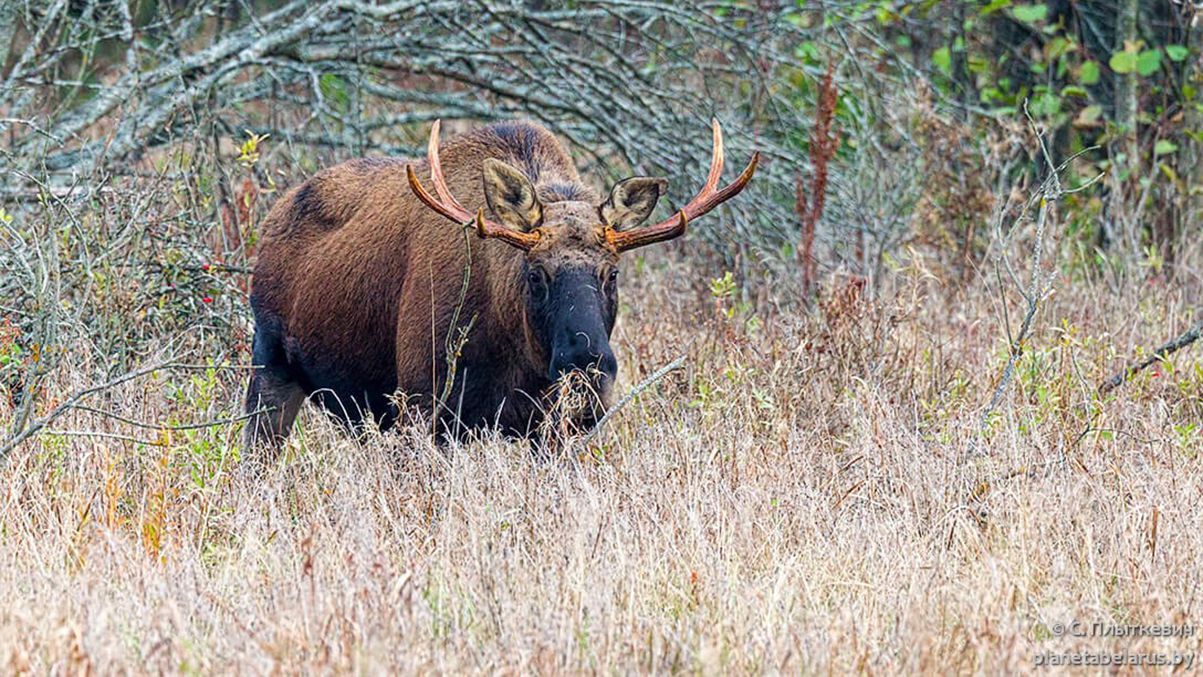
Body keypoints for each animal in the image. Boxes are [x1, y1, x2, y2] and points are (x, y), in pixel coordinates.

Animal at [239, 119, 755, 452]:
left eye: (612, 273)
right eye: (535, 273)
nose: (587, 369)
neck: (515, 357)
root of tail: (272, 216)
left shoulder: (552, 431)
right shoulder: (422, 406)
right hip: (271, 364)